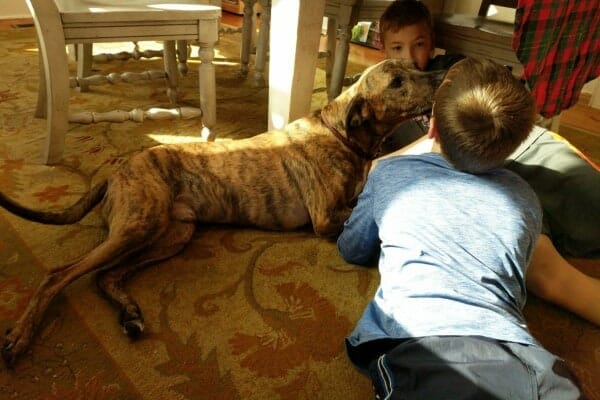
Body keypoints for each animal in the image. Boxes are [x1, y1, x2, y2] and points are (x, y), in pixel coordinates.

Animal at [0, 59, 440, 366]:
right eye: (397, 82)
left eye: (413, 68)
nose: (440, 76)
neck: (341, 133)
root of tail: (115, 172)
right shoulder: (328, 216)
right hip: (139, 225)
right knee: (60, 275)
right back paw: (21, 336)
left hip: (171, 234)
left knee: (105, 276)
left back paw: (129, 314)